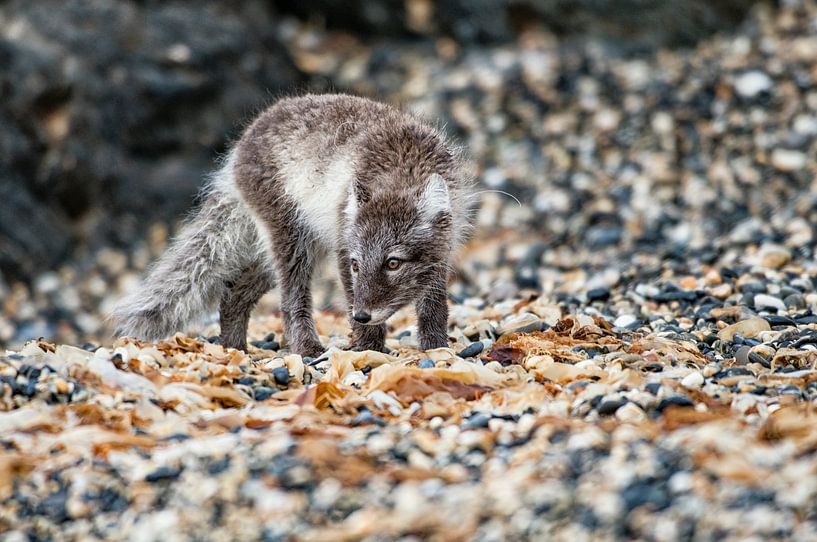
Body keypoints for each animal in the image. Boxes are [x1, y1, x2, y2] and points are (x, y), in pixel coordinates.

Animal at [112, 94, 475, 357]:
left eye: (393, 263)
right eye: (357, 266)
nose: (360, 315)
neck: (401, 169)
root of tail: (239, 148)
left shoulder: (442, 251)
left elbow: (434, 306)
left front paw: (436, 348)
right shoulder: (343, 247)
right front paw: (369, 349)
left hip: (290, 249)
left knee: (233, 296)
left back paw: (234, 348)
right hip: (291, 240)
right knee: (290, 301)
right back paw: (306, 349)